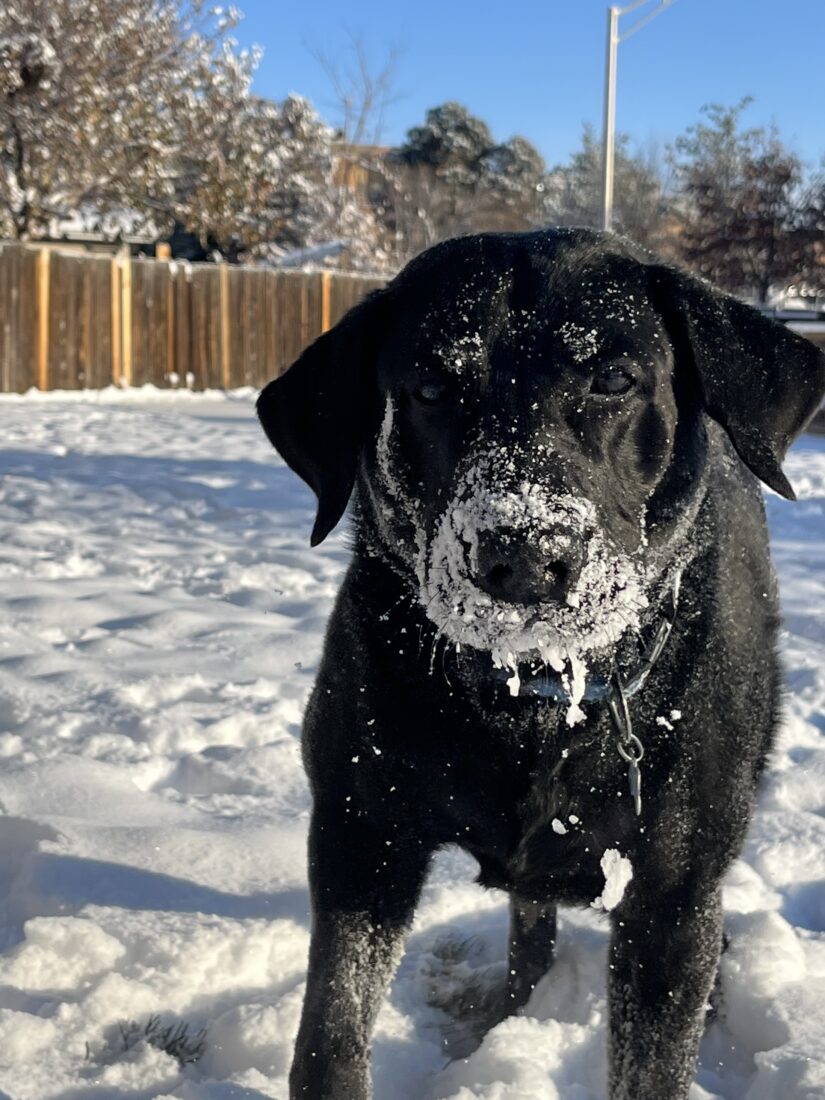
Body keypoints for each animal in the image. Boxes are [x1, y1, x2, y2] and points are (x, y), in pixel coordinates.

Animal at [258, 227, 825, 1095]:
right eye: (429, 386)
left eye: (614, 378)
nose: (523, 554)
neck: (533, 702)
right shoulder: (360, 834)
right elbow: (329, 1034)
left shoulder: (669, 899)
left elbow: (651, 1065)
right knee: (531, 928)